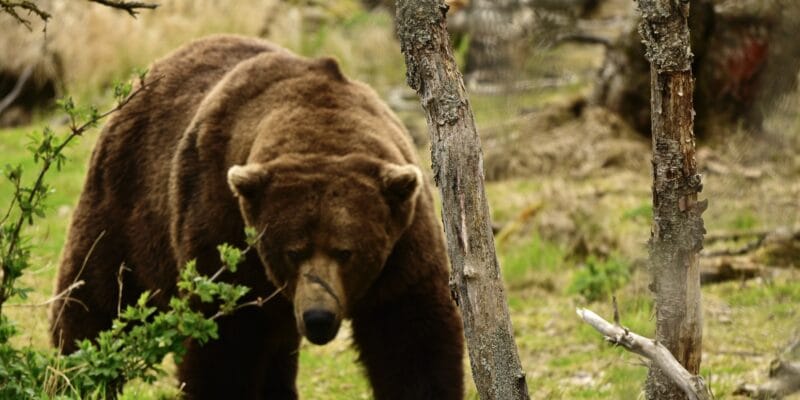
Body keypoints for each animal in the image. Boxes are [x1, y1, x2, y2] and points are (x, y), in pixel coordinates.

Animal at [49, 35, 465, 400]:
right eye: (293, 251)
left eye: (346, 252)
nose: (318, 317)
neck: (322, 131)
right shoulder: (224, 228)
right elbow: (223, 343)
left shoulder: (404, 245)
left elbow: (411, 340)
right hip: (127, 200)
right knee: (96, 295)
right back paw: (71, 375)